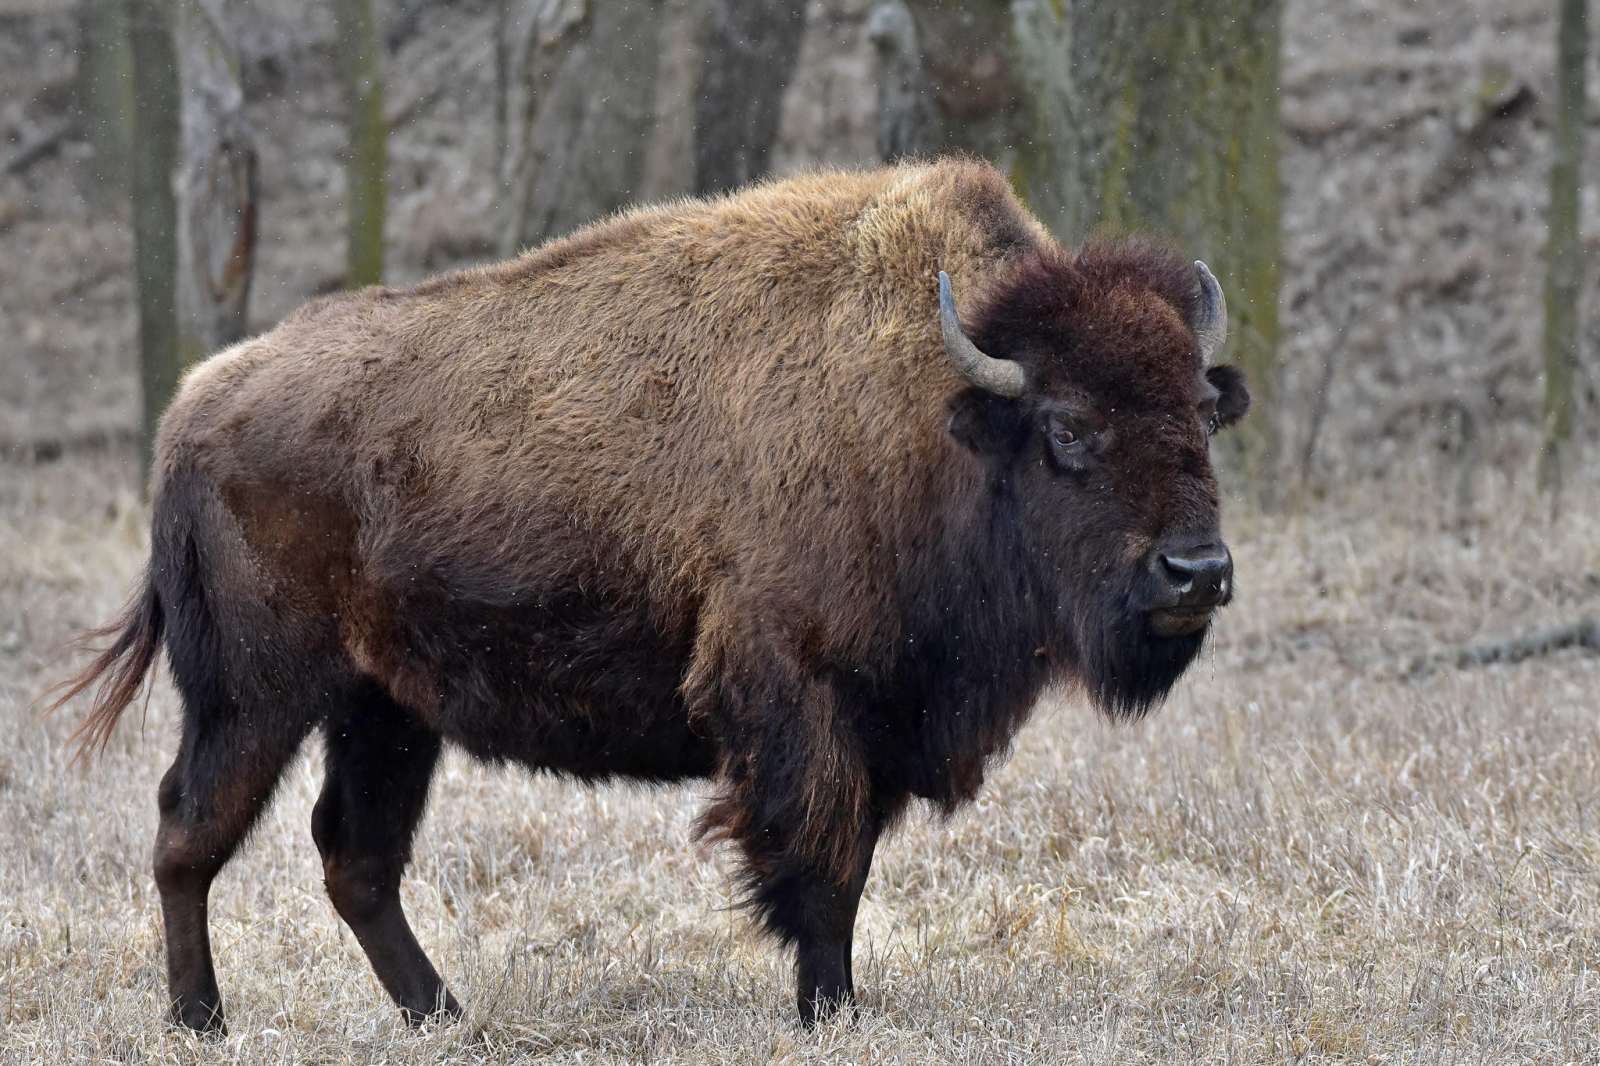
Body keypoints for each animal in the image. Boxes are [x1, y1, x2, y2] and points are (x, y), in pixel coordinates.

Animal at [59, 160, 1248, 1030]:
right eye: (1068, 430)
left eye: (1201, 412)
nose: (1197, 573)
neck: (940, 415)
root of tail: (196, 405)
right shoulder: (799, 700)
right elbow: (821, 865)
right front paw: (830, 1010)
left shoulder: (878, 718)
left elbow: (850, 860)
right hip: (254, 694)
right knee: (188, 831)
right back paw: (202, 1020)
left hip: (382, 708)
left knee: (355, 858)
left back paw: (444, 1013)